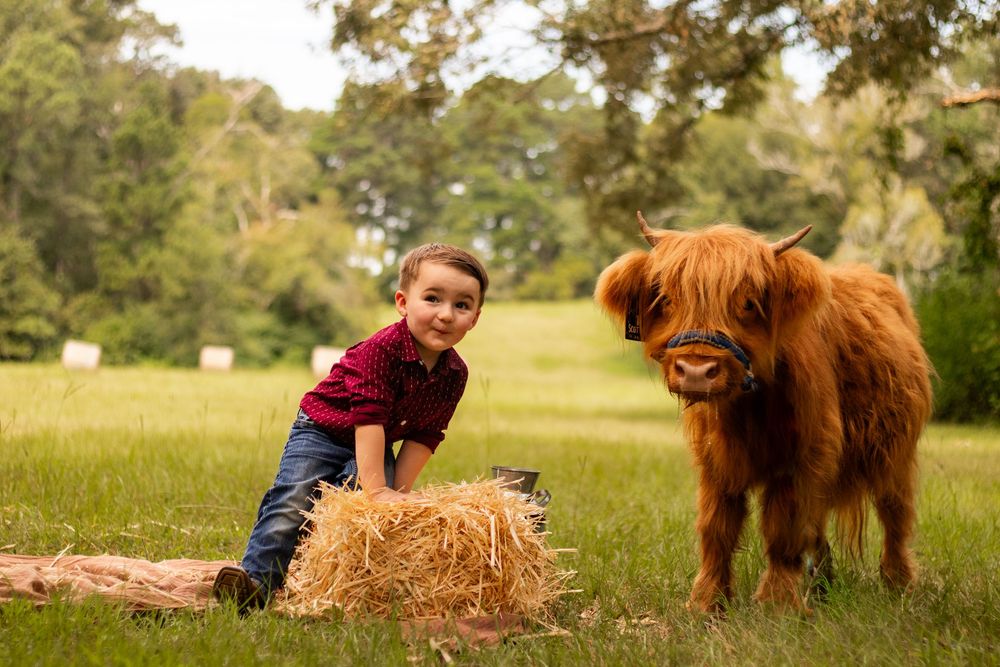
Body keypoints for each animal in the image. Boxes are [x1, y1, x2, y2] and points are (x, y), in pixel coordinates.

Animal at [595, 213, 932, 613]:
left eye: (748, 303)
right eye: (667, 298)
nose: (696, 371)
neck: (745, 411)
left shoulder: (799, 459)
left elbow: (783, 529)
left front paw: (778, 602)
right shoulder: (715, 462)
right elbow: (716, 528)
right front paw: (707, 601)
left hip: (894, 451)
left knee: (895, 512)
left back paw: (898, 583)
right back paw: (823, 584)